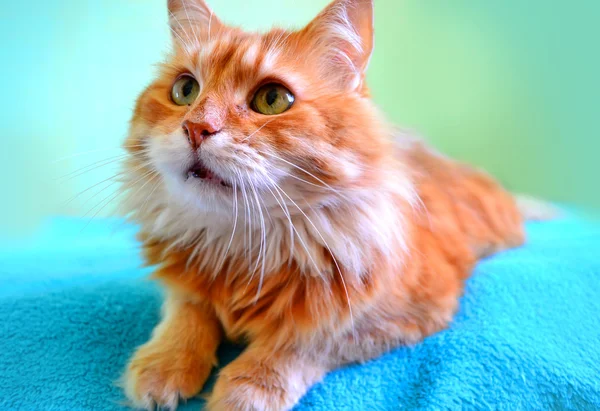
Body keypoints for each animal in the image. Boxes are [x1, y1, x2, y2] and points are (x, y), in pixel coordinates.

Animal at [118, 0, 540, 410]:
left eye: (272, 99)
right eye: (185, 90)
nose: (195, 128)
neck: (242, 246)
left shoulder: (405, 313)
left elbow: (300, 342)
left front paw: (243, 392)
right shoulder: (185, 274)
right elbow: (185, 314)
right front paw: (163, 367)